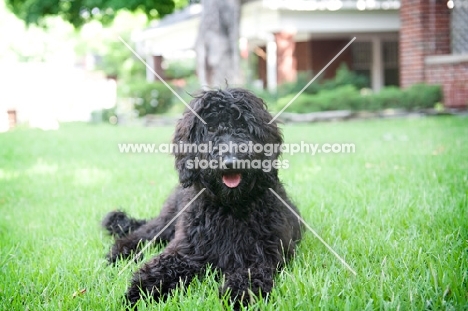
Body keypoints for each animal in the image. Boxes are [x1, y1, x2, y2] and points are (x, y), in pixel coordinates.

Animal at [101, 88, 304, 310]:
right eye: (211, 127)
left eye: (243, 126)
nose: (230, 161)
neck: (229, 207)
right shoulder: (185, 249)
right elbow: (159, 268)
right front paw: (137, 294)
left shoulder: (262, 255)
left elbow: (250, 277)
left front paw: (237, 297)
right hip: (166, 222)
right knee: (142, 234)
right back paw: (119, 253)